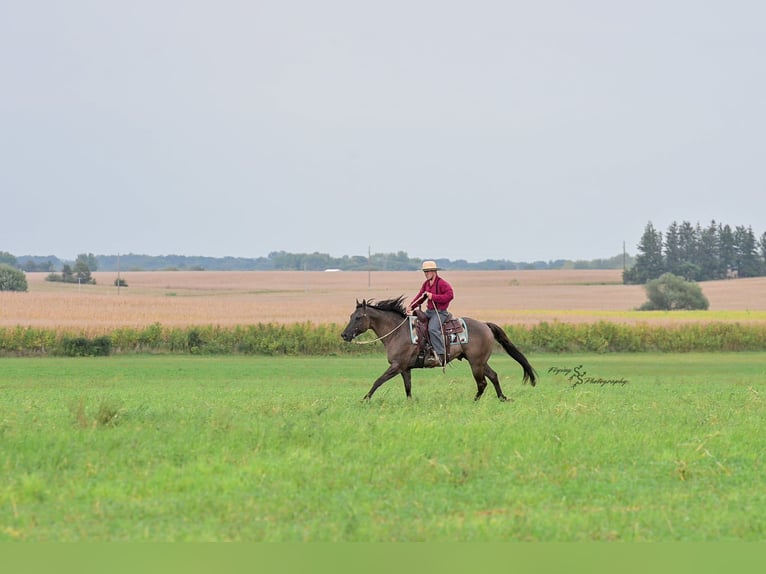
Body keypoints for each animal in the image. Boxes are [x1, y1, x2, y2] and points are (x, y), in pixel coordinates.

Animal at [340, 296, 537, 401]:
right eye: (351, 316)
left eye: (358, 317)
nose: (344, 335)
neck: (397, 331)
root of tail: (484, 325)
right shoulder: (405, 368)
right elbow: (408, 387)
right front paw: (410, 403)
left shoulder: (396, 366)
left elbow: (378, 381)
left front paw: (364, 400)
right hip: (479, 362)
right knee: (493, 377)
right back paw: (502, 398)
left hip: (476, 363)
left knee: (482, 382)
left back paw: (474, 402)